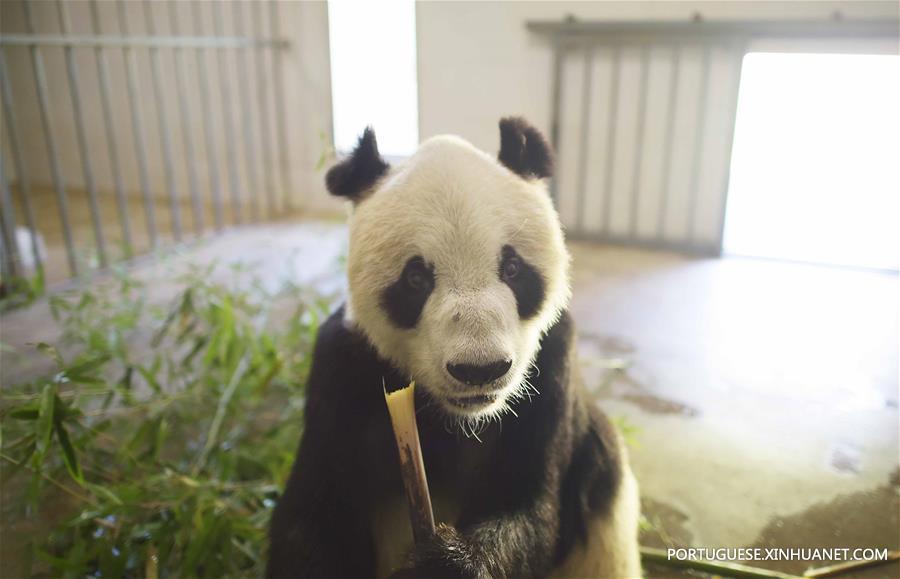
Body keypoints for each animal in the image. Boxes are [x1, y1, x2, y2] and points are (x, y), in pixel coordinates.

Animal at [267, 117, 642, 578]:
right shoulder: (342, 373)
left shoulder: (553, 366)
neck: (457, 419)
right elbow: (314, 522)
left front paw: (444, 561)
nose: (480, 369)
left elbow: (531, 511)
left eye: (512, 268)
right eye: (416, 279)